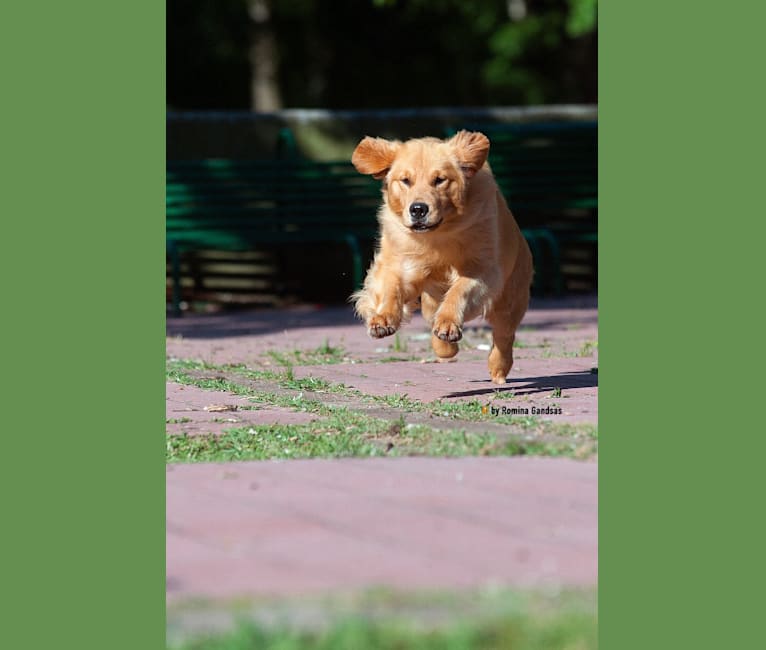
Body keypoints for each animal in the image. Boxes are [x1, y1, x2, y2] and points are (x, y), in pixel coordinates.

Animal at [352, 132, 536, 384]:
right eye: (405, 180)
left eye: (440, 180)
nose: (418, 209)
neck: (437, 236)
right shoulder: (398, 263)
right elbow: (391, 288)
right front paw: (383, 319)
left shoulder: (483, 270)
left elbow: (459, 291)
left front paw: (448, 324)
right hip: (431, 303)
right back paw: (444, 348)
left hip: (510, 299)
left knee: (504, 336)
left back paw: (498, 369)